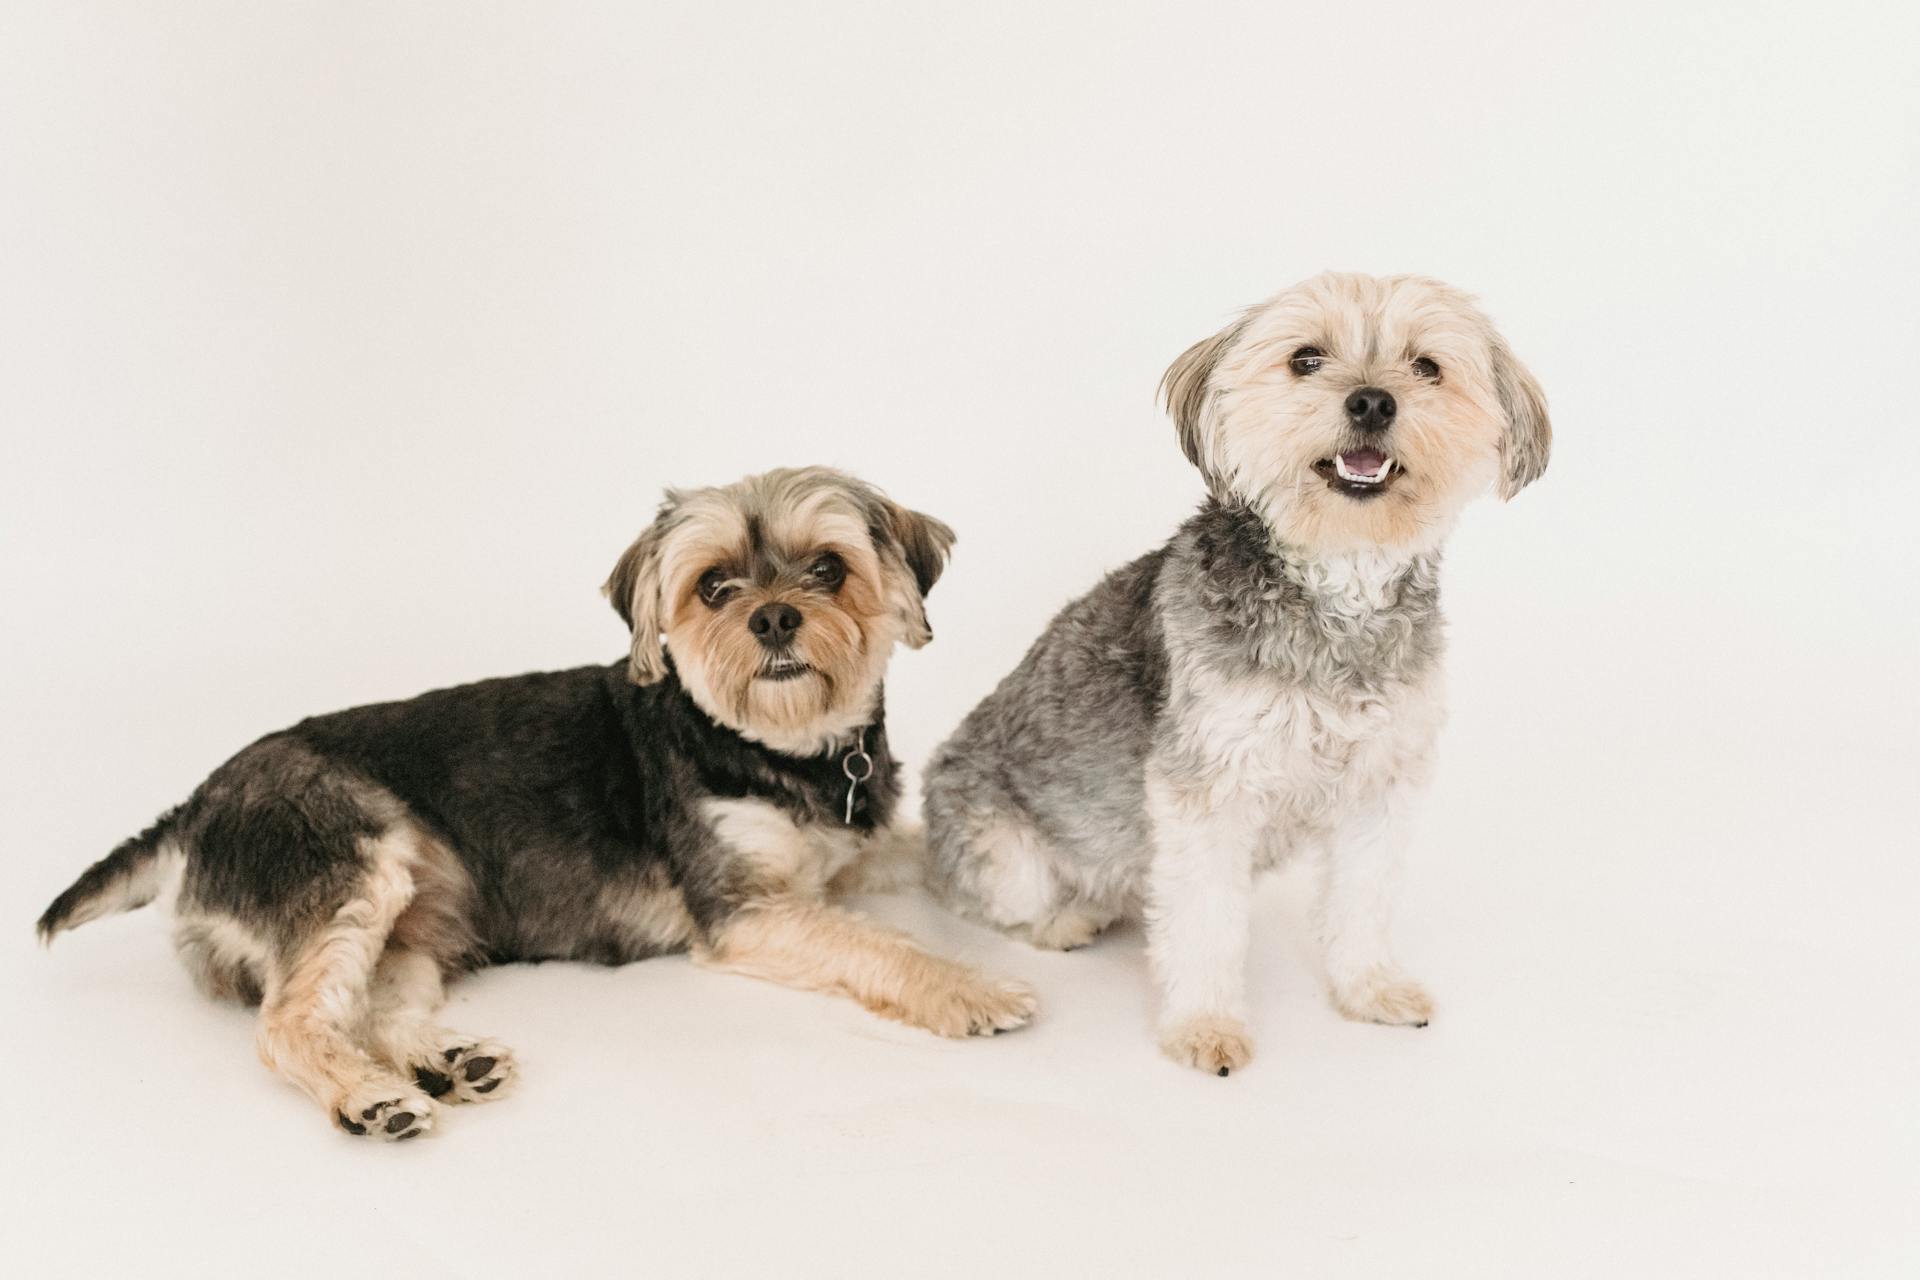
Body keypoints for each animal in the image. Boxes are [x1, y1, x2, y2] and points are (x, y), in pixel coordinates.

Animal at [921, 276, 1551, 1074]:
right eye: (1306, 358)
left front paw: (1369, 987)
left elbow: (1364, 900)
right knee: (986, 900)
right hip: (1004, 857)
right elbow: (1206, 924)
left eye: (1427, 367)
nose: (1373, 402)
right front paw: (1205, 1024)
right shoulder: (1207, 789)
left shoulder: (1381, 782)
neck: (1337, 588)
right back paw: (1068, 918)